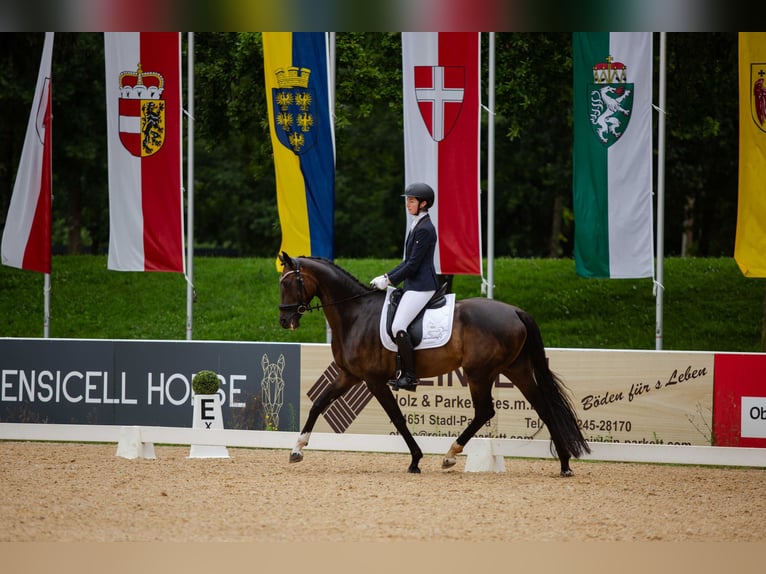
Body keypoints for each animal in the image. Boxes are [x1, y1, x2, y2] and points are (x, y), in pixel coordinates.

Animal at [280, 252, 592, 476]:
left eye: (286, 283)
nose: (284, 321)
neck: (356, 314)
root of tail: (516, 311)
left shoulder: (373, 379)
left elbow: (397, 417)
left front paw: (416, 460)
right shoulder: (349, 375)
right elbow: (319, 403)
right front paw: (297, 449)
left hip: (478, 373)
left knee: (485, 411)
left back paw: (450, 455)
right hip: (516, 369)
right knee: (543, 407)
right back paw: (565, 464)